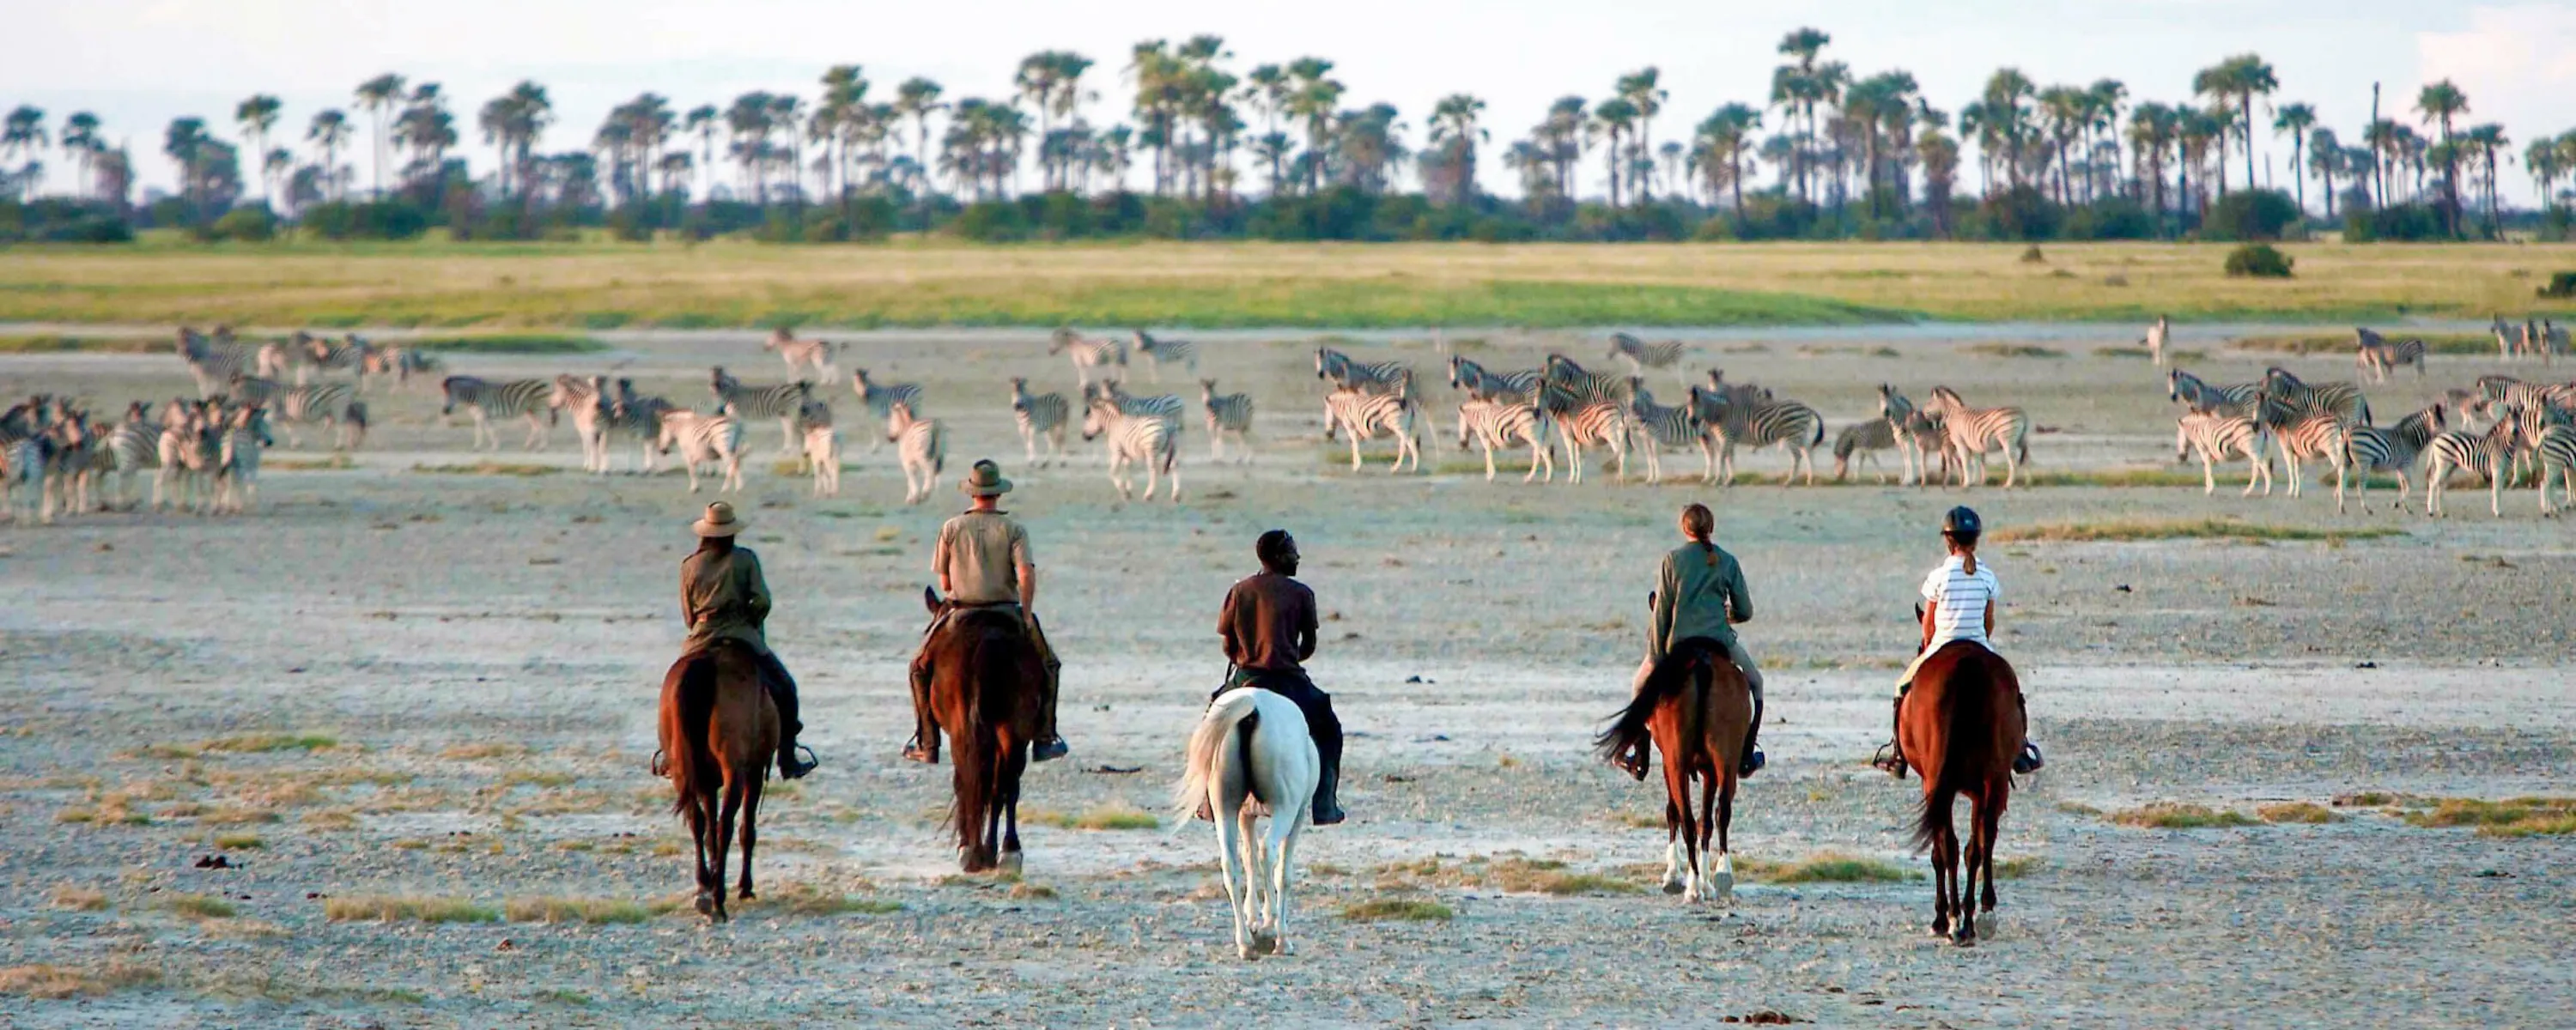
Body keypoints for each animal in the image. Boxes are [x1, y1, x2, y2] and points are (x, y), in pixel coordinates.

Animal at [2260, 366, 2371, 427]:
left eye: (2264, 384)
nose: (2260, 394)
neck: (2293, 394)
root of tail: (2360, 392)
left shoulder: (2302, 413)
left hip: (2352, 412)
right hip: (2357, 413)